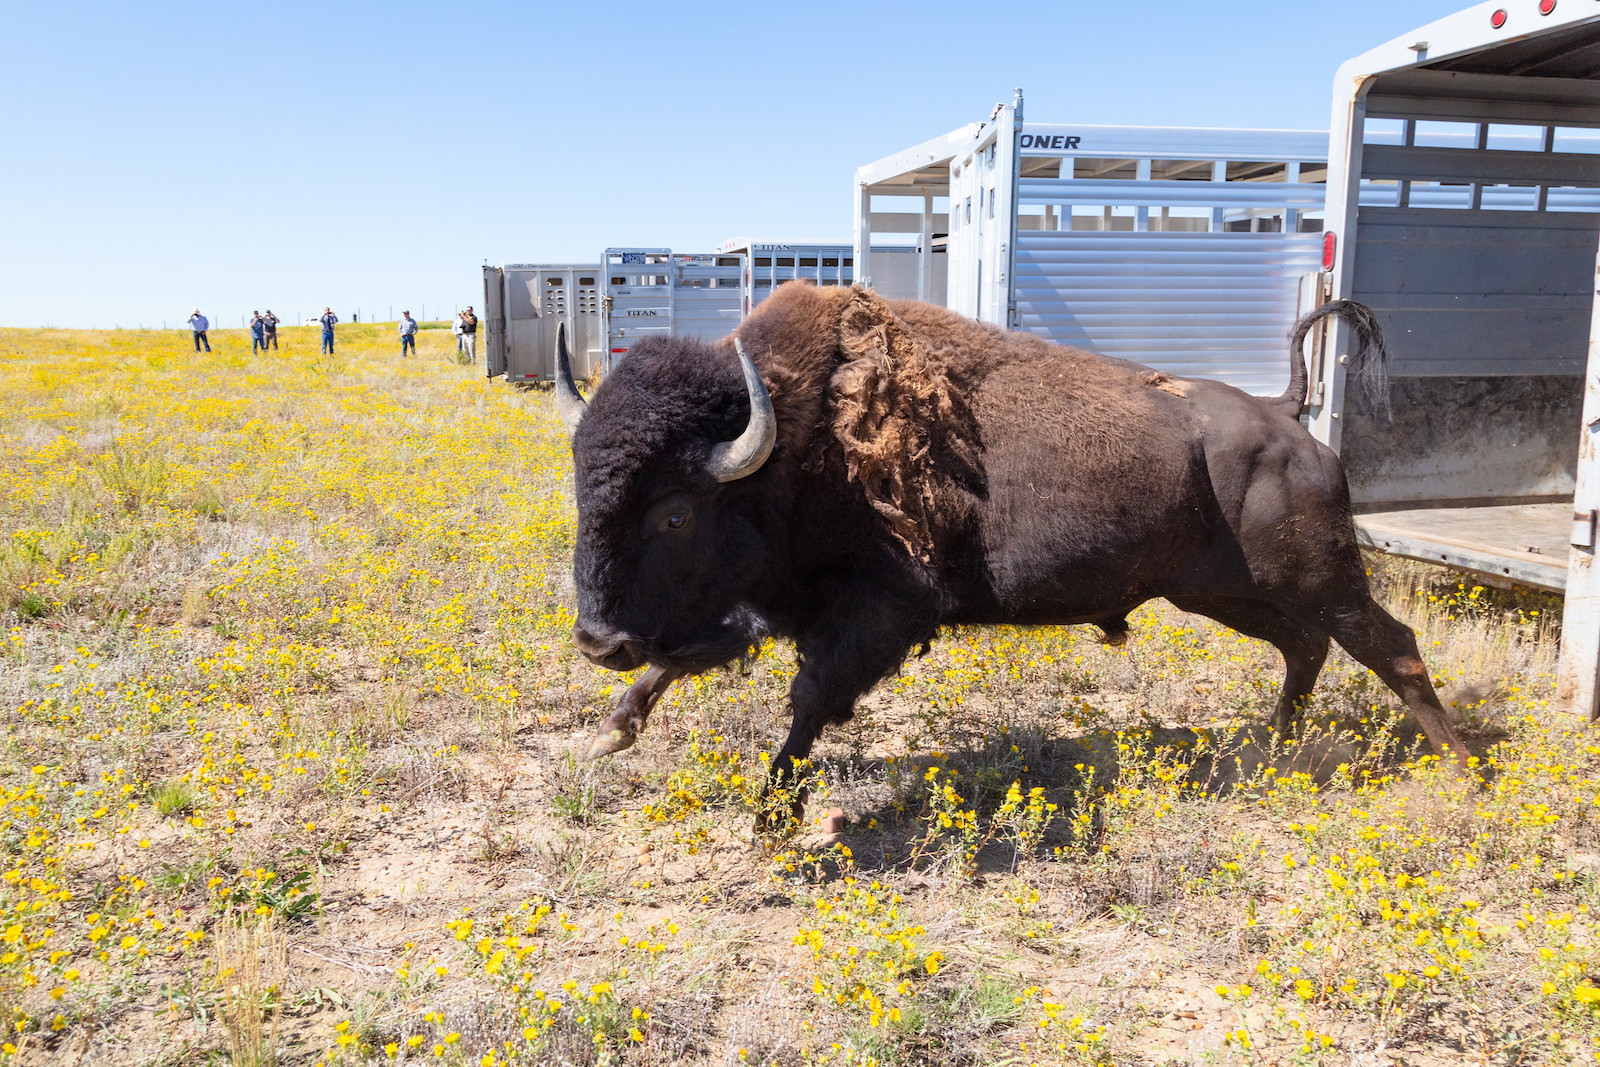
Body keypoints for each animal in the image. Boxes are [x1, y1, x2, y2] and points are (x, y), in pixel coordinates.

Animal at [556, 283, 1465, 819]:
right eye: (579, 485)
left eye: (675, 514)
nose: (598, 641)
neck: (788, 443)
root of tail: (1286, 415)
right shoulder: (765, 608)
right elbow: (681, 660)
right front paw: (608, 734)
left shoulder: (882, 611)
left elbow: (809, 697)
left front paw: (771, 811)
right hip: (1221, 593)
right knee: (1303, 646)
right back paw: (1271, 749)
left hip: (1320, 578)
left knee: (1391, 645)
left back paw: (1465, 769)